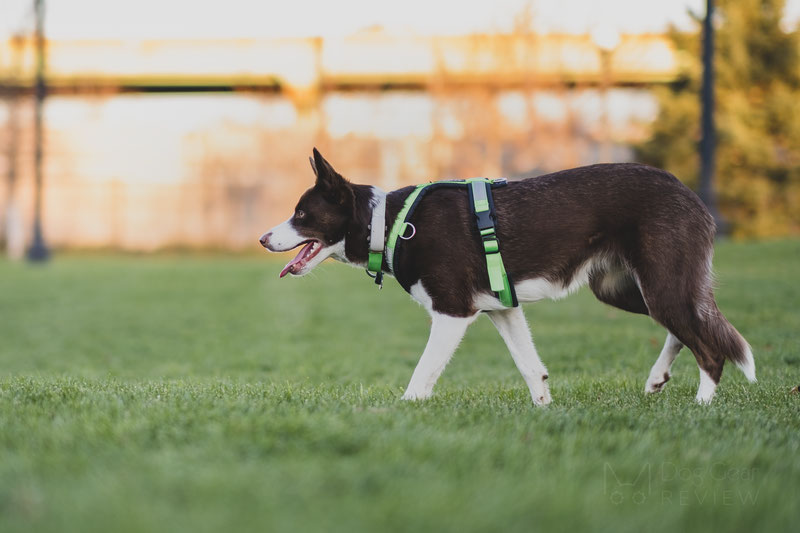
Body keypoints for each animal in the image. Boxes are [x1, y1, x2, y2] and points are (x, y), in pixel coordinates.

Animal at [260, 148, 756, 406]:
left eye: (301, 215)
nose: (263, 238)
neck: (393, 222)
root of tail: (691, 195)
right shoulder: (503, 306)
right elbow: (531, 368)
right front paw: (545, 413)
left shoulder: (453, 312)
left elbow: (421, 377)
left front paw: (402, 414)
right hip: (626, 288)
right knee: (688, 326)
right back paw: (658, 378)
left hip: (660, 282)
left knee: (710, 347)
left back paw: (700, 407)